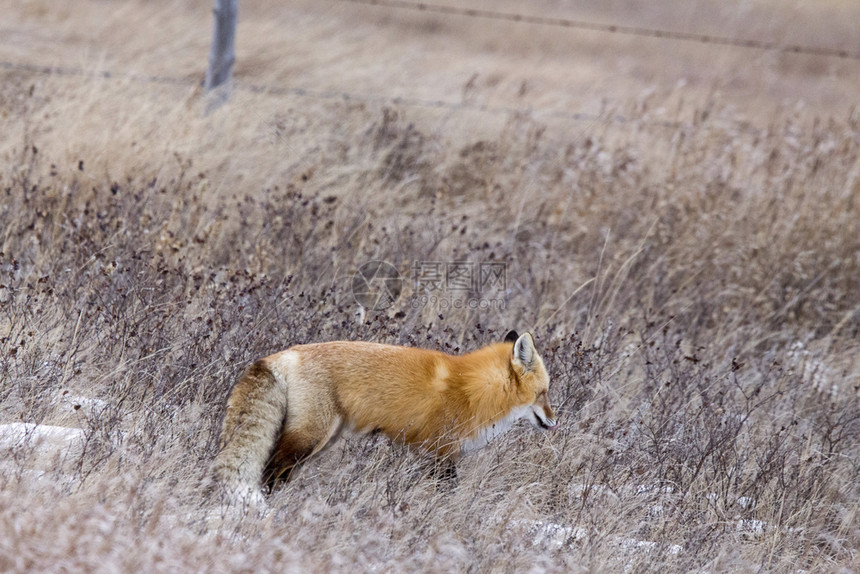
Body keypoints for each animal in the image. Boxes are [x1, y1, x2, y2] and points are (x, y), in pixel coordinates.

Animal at [212, 330, 556, 502]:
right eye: (544, 393)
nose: (555, 422)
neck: (474, 390)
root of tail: (279, 356)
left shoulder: (436, 455)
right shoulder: (442, 452)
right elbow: (447, 494)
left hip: (322, 441)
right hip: (309, 438)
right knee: (271, 471)